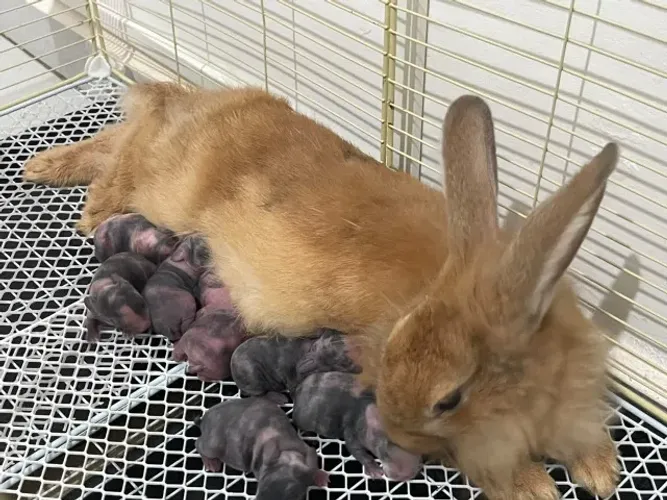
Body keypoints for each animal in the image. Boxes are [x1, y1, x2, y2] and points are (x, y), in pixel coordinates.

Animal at [23, 83, 619, 499]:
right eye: (447, 399)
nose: (398, 430)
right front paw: (534, 486)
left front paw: (600, 470)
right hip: (159, 185)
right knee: (125, 147)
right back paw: (63, 183)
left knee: (124, 134)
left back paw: (45, 165)